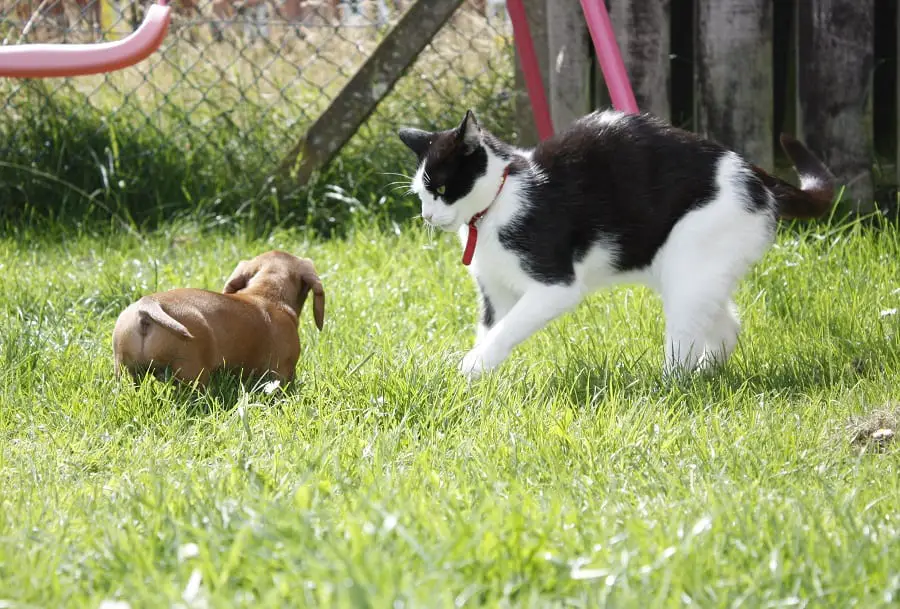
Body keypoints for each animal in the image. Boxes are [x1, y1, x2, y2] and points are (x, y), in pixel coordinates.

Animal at [398, 107, 832, 378]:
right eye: (420, 195)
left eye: (441, 189)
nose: (428, 217)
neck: (496, 205)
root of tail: (759, 176)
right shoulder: (495, 292)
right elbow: (492, 329)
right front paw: (477, 383)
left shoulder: (555, 287)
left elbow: (508, 329)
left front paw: (471, 368)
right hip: (691, 271)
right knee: (726, 324)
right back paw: (708, 372)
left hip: (692, 263)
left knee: (686, 337)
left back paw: (670, 386)